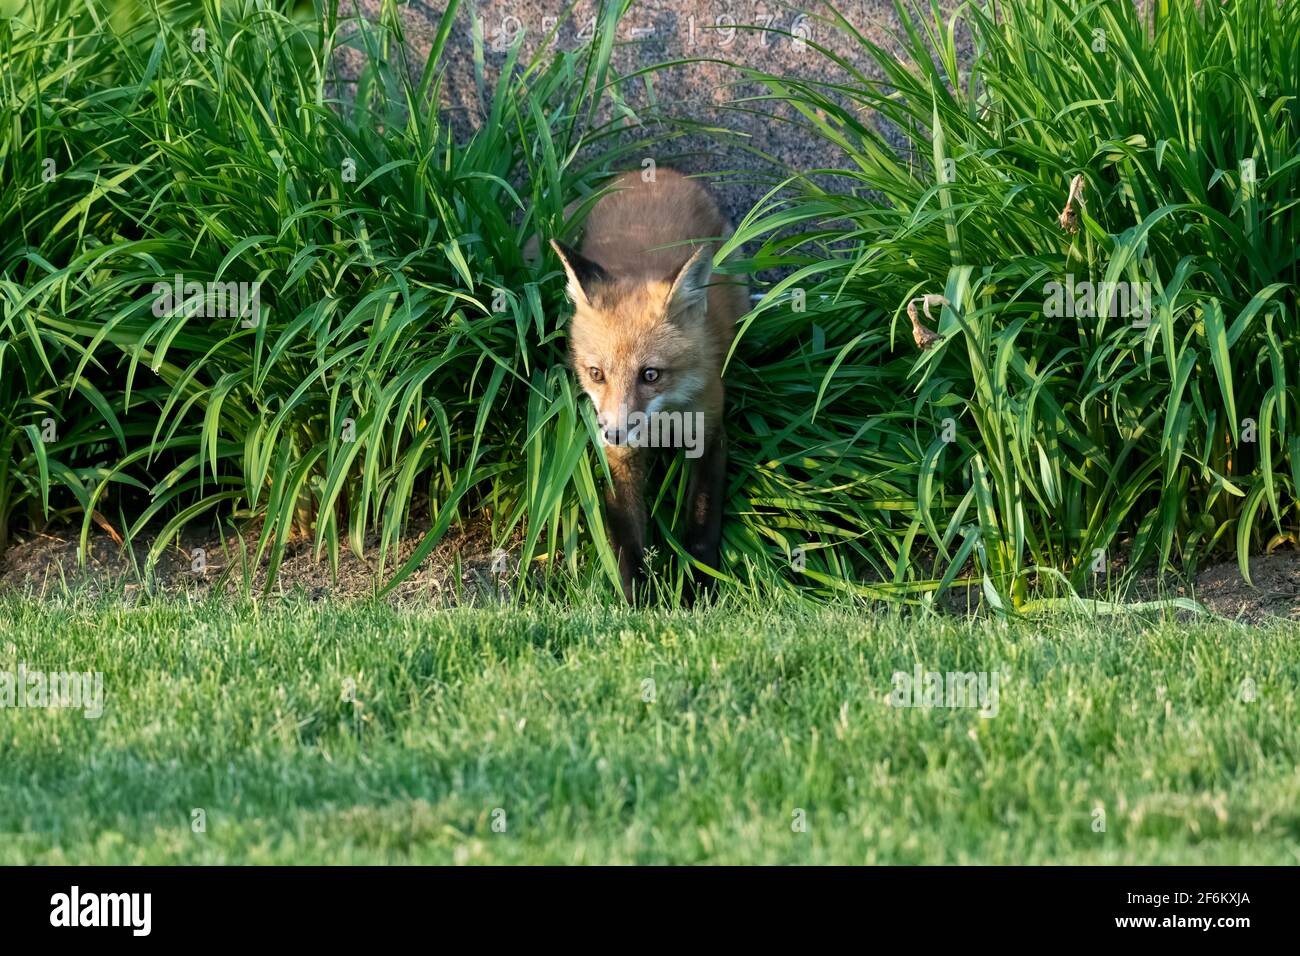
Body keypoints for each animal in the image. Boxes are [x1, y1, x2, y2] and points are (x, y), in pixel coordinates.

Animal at [550, 169, 748, 603]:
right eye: (596, 374)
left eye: (650, 375)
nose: (614, 431)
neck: (664, 422)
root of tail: (657, 174)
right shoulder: (617, 456)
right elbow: (627, 538)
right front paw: (638, 602)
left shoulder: (709, 430)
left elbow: (702, 524)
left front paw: (699, 593)